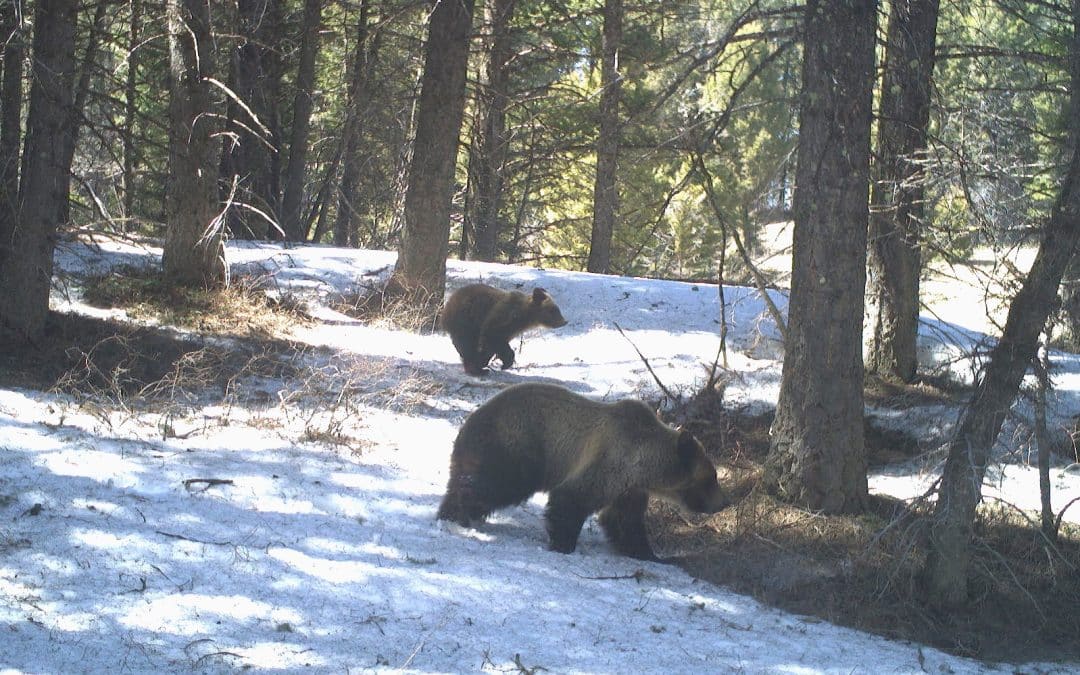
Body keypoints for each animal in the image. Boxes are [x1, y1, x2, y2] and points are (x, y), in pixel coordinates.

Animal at [436, 383, 727, 561]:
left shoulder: (628, 487)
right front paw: (564, 543)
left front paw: (649, 554)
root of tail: (468, 422)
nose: (723, 502)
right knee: (491, 484)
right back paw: (455, 513)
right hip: (515, 444)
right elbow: (571, 499)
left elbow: (624, 521)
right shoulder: (609, 462)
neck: (644, 465)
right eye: (711, 478)